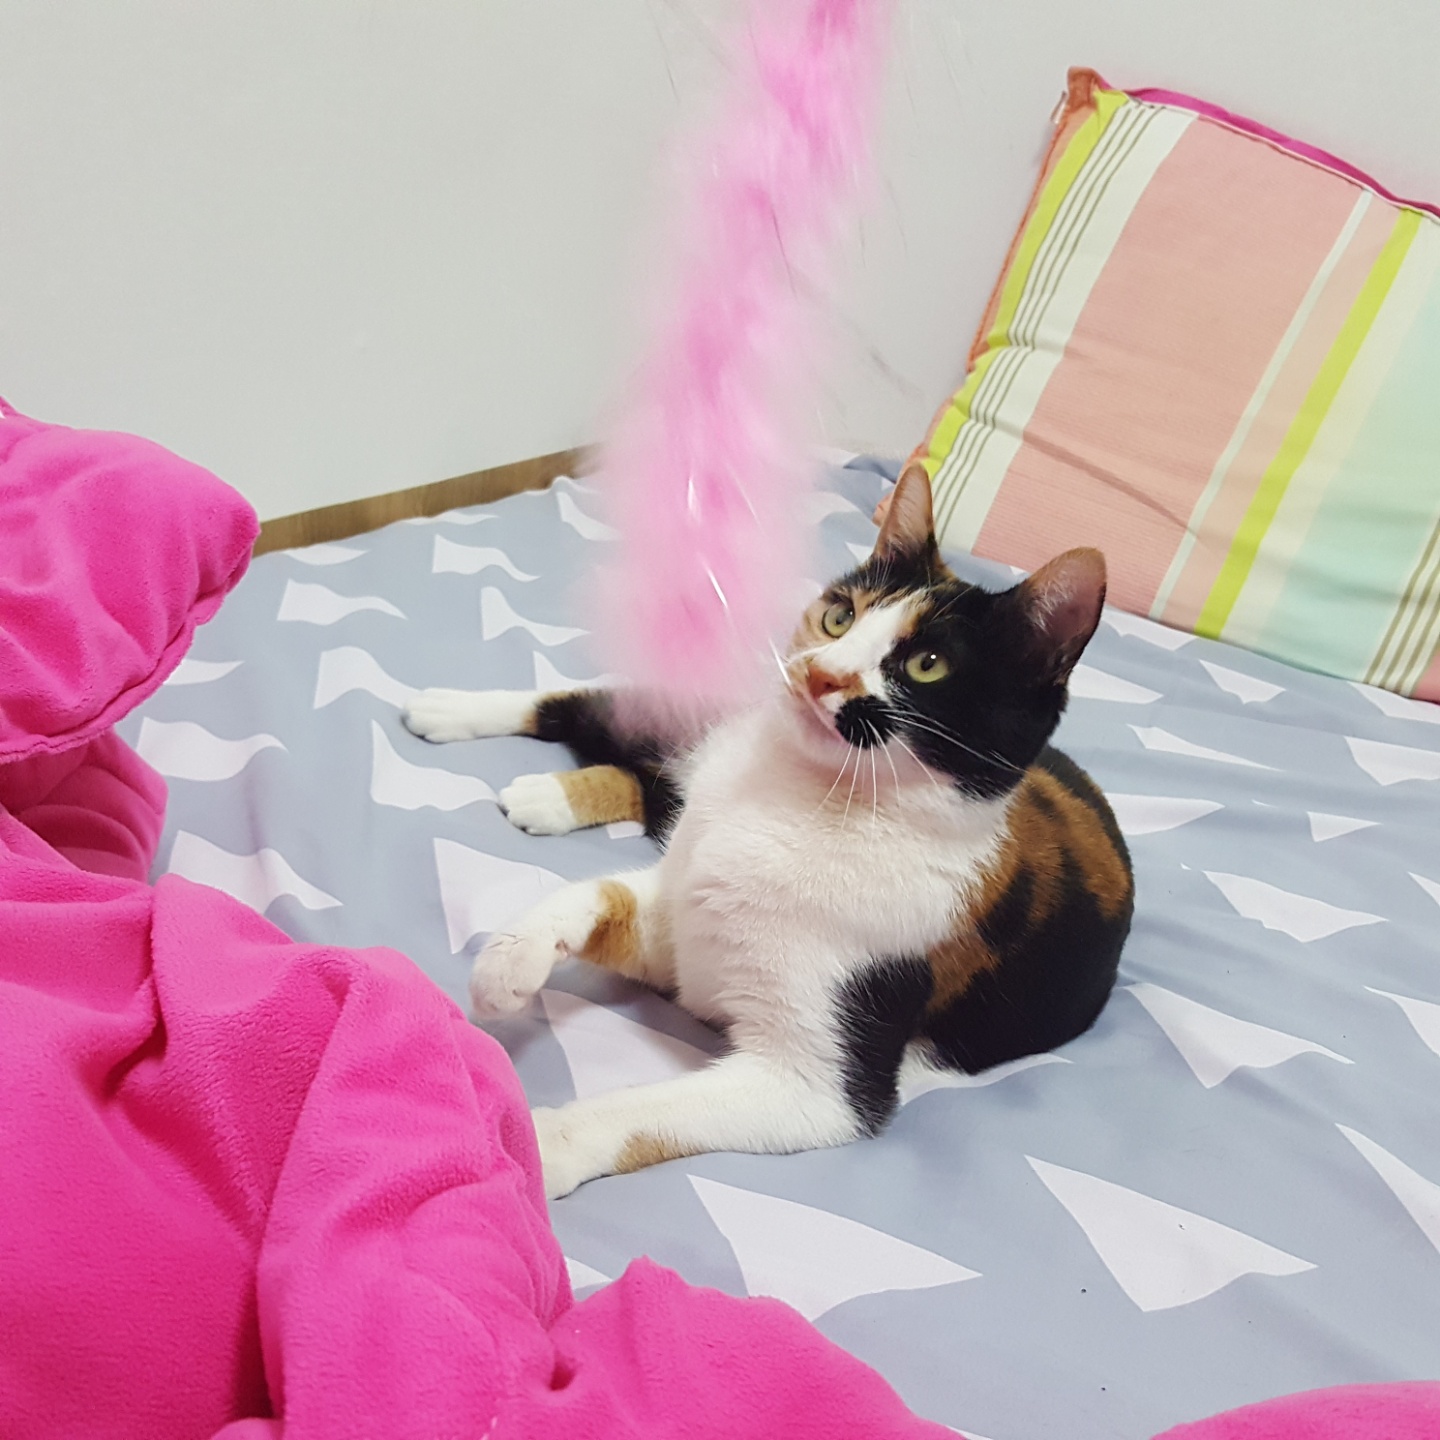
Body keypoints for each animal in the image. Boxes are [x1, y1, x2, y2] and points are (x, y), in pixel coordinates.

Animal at [403, 463, 1133, 1198]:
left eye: (927, 665)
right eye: (840, 615)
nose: (820, 671)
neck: (797, 794)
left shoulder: (817, 1075)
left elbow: (649, 1109)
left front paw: (534, 1142)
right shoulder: (681, 914)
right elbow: (597, 893)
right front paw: (510, 959)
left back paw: (546, 794)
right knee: (598, 713)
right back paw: (453, 711)